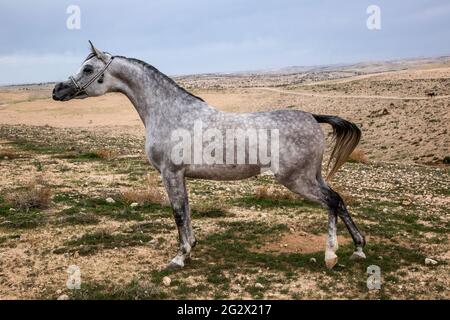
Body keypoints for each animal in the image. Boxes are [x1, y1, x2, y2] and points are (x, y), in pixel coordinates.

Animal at [52, 40, 366, 270]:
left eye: (87, 68)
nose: (57, 89)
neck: (169, 112)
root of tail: (313, 117)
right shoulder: (179, 176)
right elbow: (186, 211)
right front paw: (190, 248)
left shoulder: (170, 174)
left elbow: (178, 213)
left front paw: (179, 257)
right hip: (312, 177)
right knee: (338, 200)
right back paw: (358, 248)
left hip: (297, 180)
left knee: (331, 202)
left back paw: (331, 255)